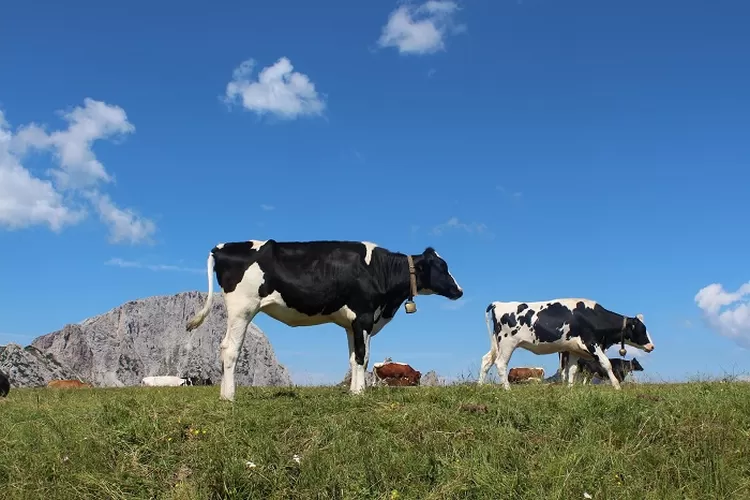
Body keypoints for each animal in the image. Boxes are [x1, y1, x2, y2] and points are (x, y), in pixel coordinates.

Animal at [187, 240, 464, 400]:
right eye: (442, 267)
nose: (459, 291)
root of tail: (222, 247)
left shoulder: (352, 323)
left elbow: (355, 358)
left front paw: (353, 391)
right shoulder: (364, 315)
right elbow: (362, 357)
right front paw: (360, 393)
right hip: (242, 309)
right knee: (230, 348)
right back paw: (229, 397)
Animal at [484, 296, 656, 390]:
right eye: (642, 329)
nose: (652, 346)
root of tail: (498, 303)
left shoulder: (573, 349)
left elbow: (571, 370)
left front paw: (570, 388)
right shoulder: (591, 343)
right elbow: (606, 364)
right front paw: (617, 386)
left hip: (497, 344)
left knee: (486, 361)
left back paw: (480, 385)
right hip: (508, 343)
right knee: (500, 364)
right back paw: (507, 389)